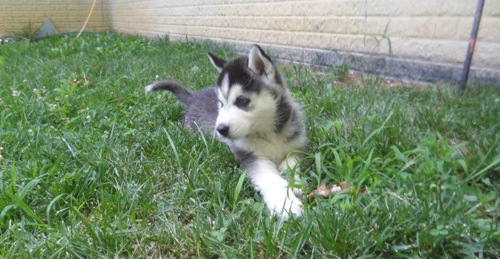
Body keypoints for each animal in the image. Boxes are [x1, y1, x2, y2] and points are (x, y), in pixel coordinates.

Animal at [146, 45, 306, 219]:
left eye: (242, 101)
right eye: (221, 103)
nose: (220, 129)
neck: (269, 132)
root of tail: (193, 97)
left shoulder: (296, 146)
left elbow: (291, 162)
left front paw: (294, 183)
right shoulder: (251, 157)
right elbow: (271, 179)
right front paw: (286, 204)